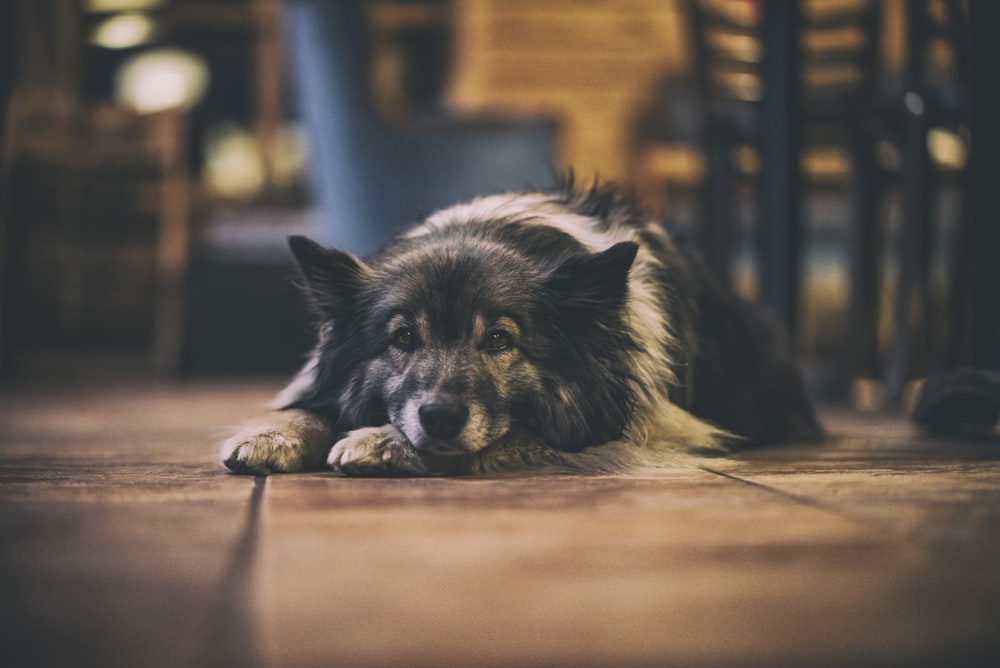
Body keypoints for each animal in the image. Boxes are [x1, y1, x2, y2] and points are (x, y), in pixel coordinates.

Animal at [225, 177, 820, 478]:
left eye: (499, 339)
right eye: (403, 338)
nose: (439, 417)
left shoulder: (653, 425)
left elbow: (522, 430)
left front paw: (381, 439)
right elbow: (311, 405)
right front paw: (273, 432)